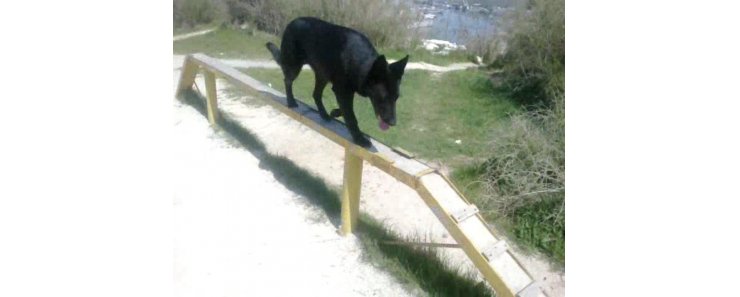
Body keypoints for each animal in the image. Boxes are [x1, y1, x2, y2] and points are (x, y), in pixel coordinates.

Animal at [268, 16, 410, 146]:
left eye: (396, 98)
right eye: (383, 97)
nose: (393, 123)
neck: (363, 64)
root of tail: (291, 22)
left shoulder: (344, 92)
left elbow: (347, 110)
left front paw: (335, 112)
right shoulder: (342, 91)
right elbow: (351, 116)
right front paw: (359, 138)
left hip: (322, 76)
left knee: (316, 94)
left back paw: (324, 114)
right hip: (294, 66)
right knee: (287, 81)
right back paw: (291, 101)